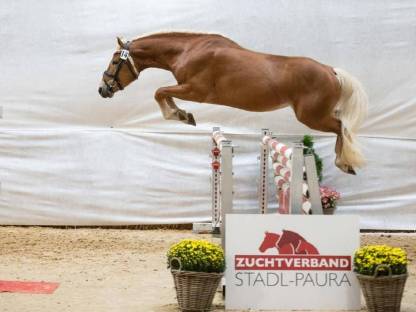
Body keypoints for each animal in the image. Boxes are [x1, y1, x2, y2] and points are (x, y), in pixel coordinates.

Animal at [99, 31, 368, 174]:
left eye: (115, 61)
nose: (102, 89)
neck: (188, 51)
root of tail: (331, 71)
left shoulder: (196, 91)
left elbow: (159, 92)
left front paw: (182, 116)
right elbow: (163, 92)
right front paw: (183, 115)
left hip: (311, 116)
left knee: (341, 128)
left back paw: (344, 163)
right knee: (341, 127)